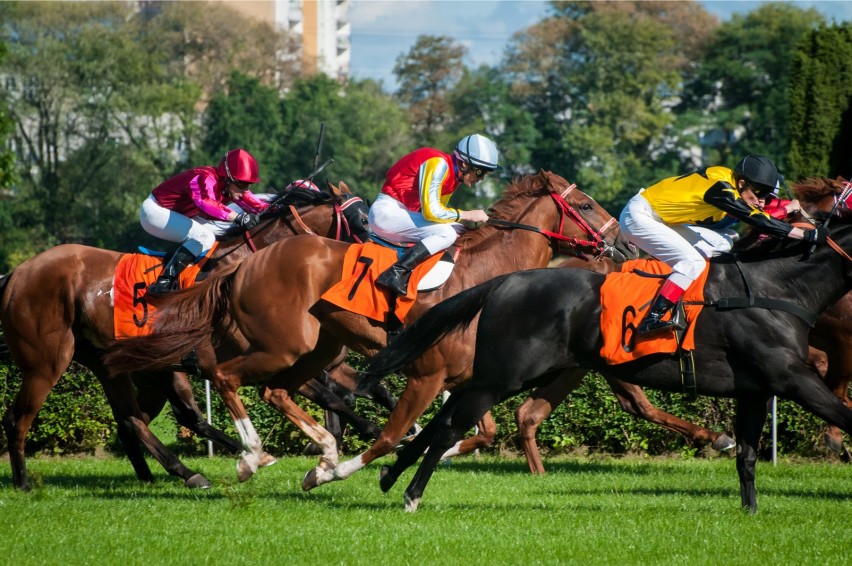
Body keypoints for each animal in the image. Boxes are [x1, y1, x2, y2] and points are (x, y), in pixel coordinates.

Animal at [1, 184, 372, 490]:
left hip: (114, 366)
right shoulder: (264, 356)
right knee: (18, 418)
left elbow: (334, 394)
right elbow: (329, 395)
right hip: (47, 363)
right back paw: (23, 483)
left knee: (132, 420)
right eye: (364, 220)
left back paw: (170, 473)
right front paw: (364, 433)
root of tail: (17, 273)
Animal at [103, 171, 640, 486]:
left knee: (255, 394)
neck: (483, 277)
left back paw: (313, 451)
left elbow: (480, 433)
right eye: (585, 205)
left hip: (314, 349)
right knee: (224, 377)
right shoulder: (429, 371)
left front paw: (424, 451)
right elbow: (406, 425)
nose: (626, 245)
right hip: (282, 345)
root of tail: (242, 267)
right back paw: (250, 456)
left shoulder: (467, 377)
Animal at [368, 214, 852, 516]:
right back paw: (410, 493)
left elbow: (748, 456)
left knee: (441, 420)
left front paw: (750, 509)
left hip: (505, 374)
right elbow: (845, 415)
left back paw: (387, 475)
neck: (775, 288)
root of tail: (506, 280)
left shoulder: (755, 388)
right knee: (449, 427)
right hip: (503, 376)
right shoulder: (791, 377)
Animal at [512, 178, 852, 474]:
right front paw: (836, 439)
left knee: (534, 412)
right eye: (584, 206)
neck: (769, 282)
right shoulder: (810, 351)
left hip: (580, 364)